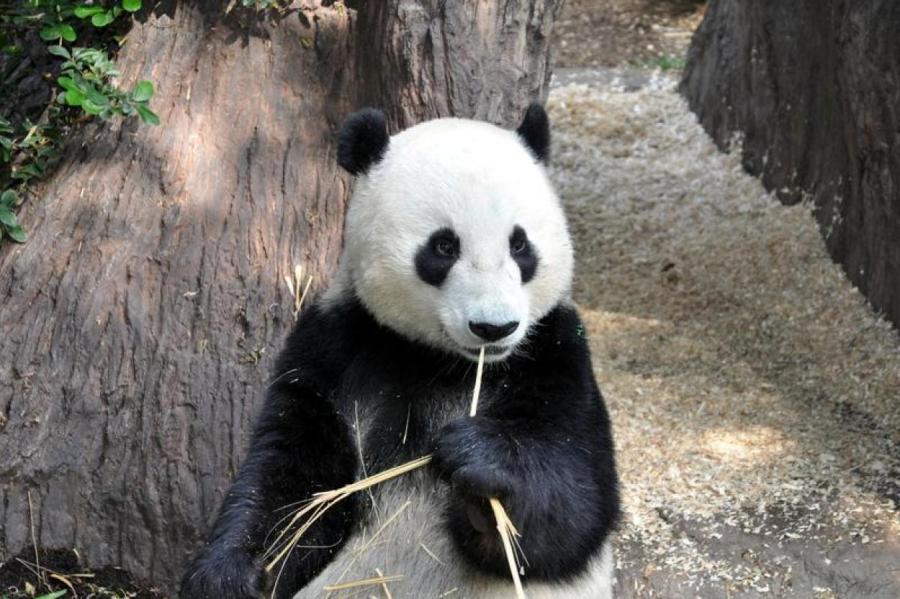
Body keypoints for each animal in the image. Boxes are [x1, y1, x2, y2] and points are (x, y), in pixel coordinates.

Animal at [181, 105, 620, 596]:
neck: (443, 362)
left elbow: (575, 508)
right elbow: (291, 486)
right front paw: (229, 573)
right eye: (444, 246)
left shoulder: (554, 353)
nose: (494, 327)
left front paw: (481, 469)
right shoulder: (335, 346)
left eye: (520, 244)